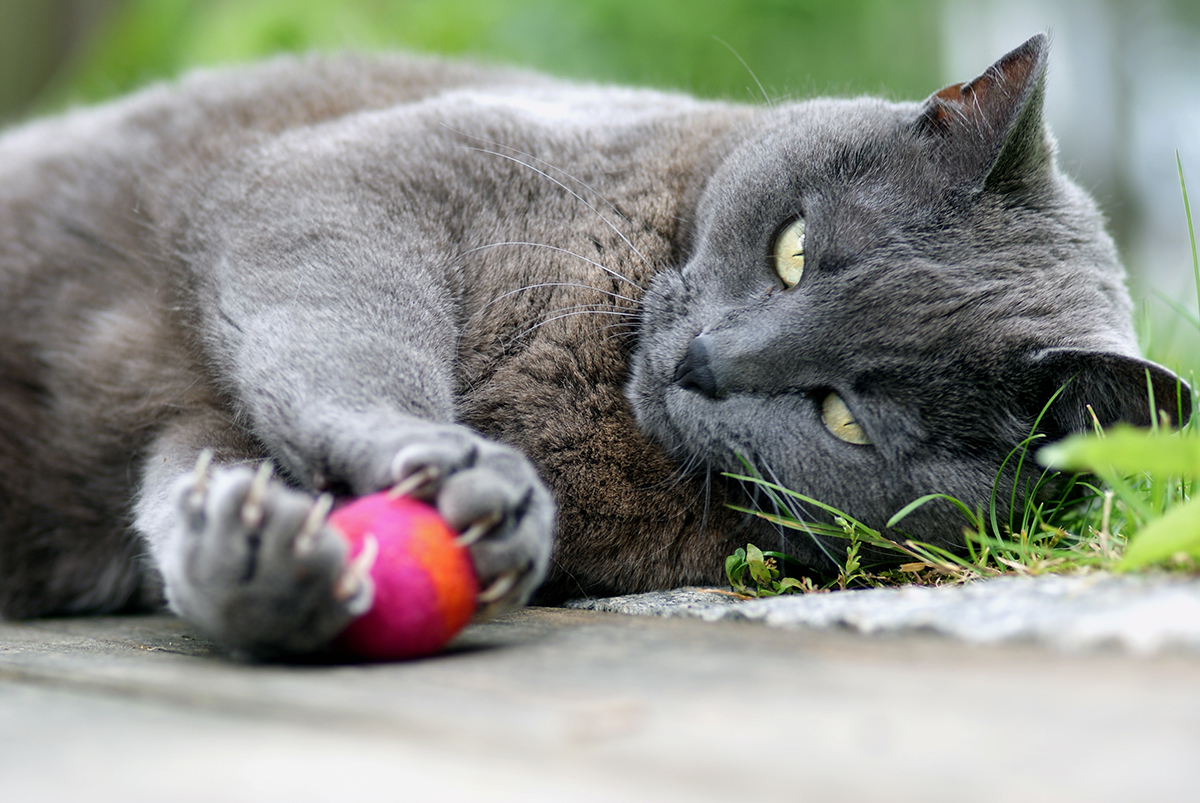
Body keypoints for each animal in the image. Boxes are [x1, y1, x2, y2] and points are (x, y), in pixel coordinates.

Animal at [0, 34, 1180, 652]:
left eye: (846, 417)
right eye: (796, 248)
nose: (707, 360)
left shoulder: (203, 408)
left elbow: (191, 471)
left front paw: (267, 558)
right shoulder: (352, 176)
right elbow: (341, 335)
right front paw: (458, 472)